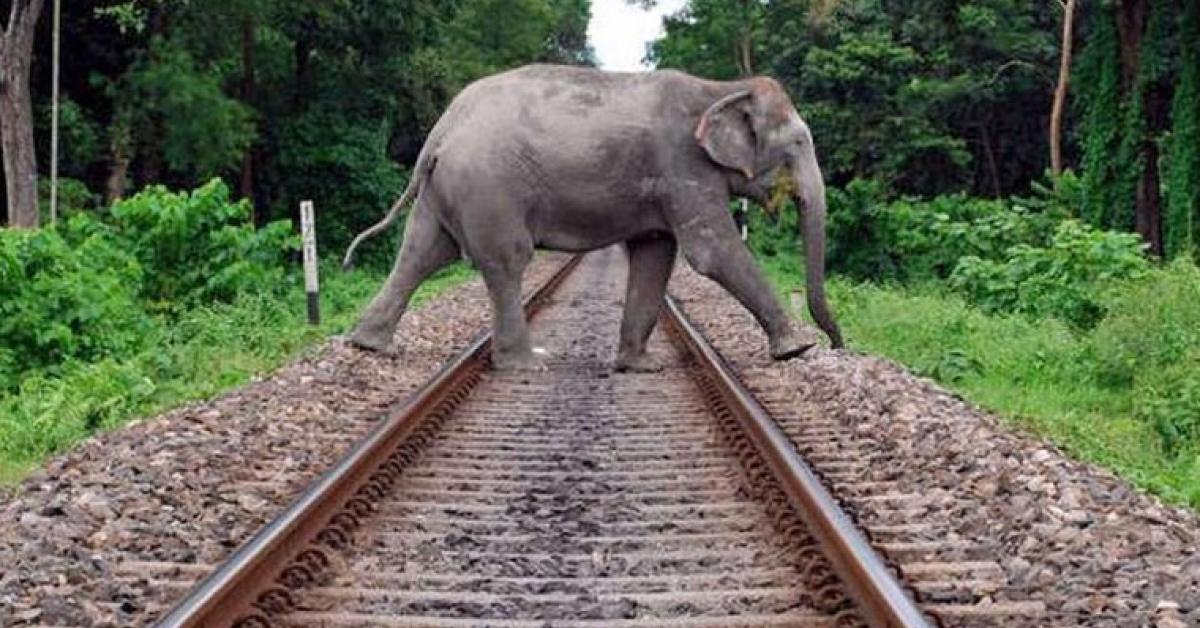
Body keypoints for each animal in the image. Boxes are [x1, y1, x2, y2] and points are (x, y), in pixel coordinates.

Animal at [342, 64, 843, 371]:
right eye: (799, 144)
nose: (838, 345)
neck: (720, 88)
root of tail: (443, 128)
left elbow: (655, 254)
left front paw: (639, 366)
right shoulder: (682, 166)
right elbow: (711, 253)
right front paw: (797, 348)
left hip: (446, 188)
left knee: (420, 253)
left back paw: (369, 345)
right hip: (488, 186)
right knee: (506, 260)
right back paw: (527, 364)